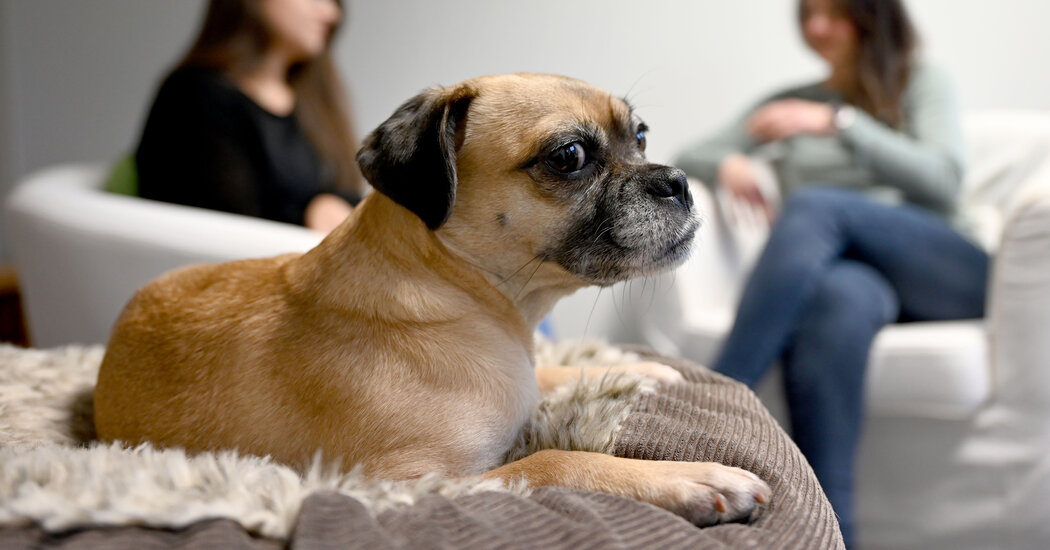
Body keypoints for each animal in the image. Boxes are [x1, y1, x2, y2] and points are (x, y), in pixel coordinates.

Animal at [96, 72, 772, 524]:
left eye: (641, 136)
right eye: (570, 156)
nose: (678, 182)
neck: (466, 293)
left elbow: (555, 375)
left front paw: (635, 370)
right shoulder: (407, 485)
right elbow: (554, 462)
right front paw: (690, 478)